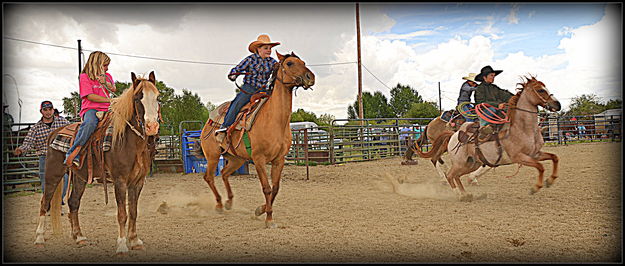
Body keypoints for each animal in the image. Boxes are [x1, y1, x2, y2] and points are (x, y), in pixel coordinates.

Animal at [33, 71, 161, 255]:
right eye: (138, 98)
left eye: (158, 97)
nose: (152, 127)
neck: (130, 142)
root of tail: (53, 132)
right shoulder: (119, 181)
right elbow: (122, 214)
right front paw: (122, 245)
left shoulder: (137, 182)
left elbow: (133, 212)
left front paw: (135, 240)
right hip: (52, 173)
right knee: (45, 202)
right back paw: (39, 238)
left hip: (79, 177)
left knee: (73, 202)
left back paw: (79, 237)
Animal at [200, 52, 314, 229]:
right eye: (289, 63)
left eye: (303, 62)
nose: (310, 77)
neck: (275, 120)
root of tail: (208, 122)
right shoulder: (259, 159)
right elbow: (266, 188)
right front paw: (269, 219)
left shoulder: (279, 160)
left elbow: (275, 188)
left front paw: (261, 210)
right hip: (212, 156)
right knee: (209, 177)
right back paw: (219, 204)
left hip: (236, 159)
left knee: (224, 174)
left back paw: (229, 202)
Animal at [422, 76, 560, 201]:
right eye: (540, 90)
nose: (557, 104)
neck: (523, 129)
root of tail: (453, 136)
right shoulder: (519, 157)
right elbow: (540, 167)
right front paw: (536, 187)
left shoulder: (534, 154)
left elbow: (554, 157)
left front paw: (550, 180)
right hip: (460, 161)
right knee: (448, 173)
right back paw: (458, 193)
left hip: (471, 163)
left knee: (455, 175)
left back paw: (465, 194)